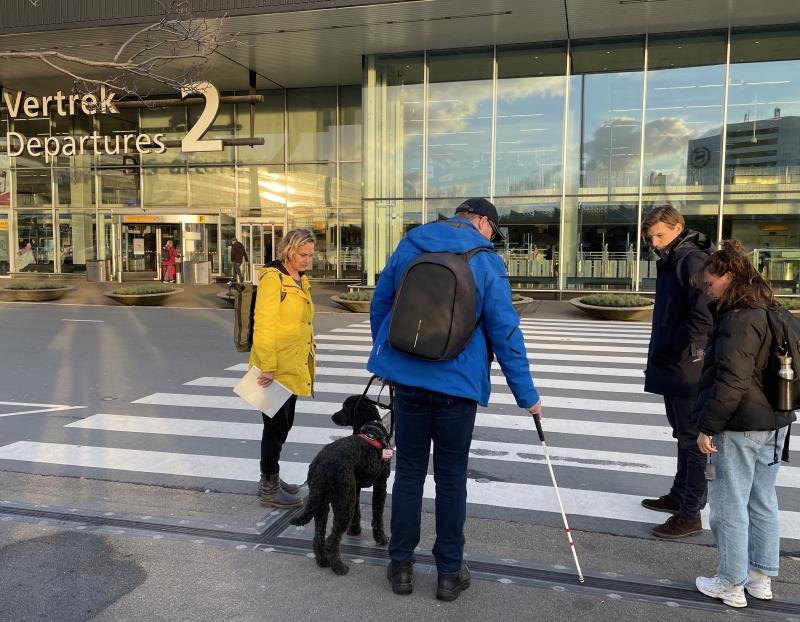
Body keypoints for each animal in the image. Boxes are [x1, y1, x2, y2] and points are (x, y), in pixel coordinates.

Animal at [292, 398, 396, 576]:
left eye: (346, 407)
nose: (333, 416)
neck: (372, 427)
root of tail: (321, 465)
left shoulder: (356, 487)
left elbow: (358, 512)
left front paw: (354, 530)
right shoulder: (381, 483)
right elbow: (378, 515)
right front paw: (381, 538)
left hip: (322, 501)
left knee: (318, 537)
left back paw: (323, 561)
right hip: (343, 502)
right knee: (331, 540)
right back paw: (339, 567)